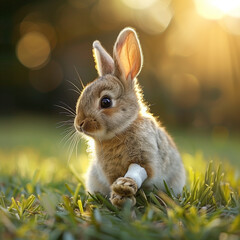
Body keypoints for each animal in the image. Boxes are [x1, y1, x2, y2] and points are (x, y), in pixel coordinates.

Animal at [73, 27, 186, 207]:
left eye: (106, 102)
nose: (79, 124)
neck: (121, 130)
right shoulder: (109, 171)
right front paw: (118, 196)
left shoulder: (145, 158)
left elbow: (138, 171)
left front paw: (125, 186)